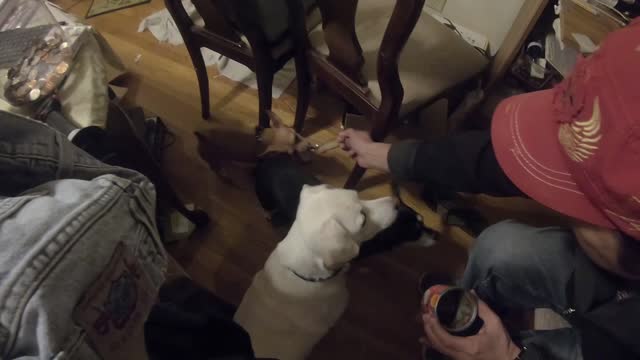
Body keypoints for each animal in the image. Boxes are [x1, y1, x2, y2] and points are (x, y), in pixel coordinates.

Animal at [252, 153, 432, 260]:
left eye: (423, 221)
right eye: (416, 232)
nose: (436, 236)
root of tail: (266, 159)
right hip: (265, 195)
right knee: (265, 205)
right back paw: (269, 214)